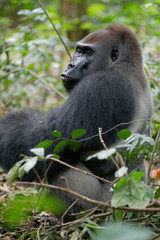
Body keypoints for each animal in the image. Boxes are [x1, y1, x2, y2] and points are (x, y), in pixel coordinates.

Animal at [0, 23, 152, 212]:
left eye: (88, 53)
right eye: (78, 51)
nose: (70, 64)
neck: (125, 65)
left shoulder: (104, 84)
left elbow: (45, 141)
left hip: (105, 207)